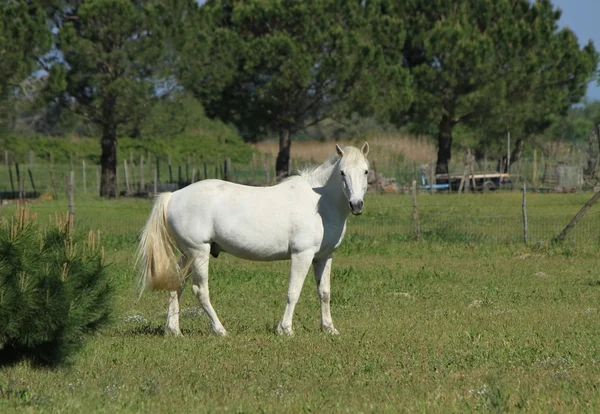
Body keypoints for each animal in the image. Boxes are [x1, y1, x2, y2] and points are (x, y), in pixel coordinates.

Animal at [138, 142, 370, 336]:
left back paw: (174, 331)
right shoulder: (301, 255)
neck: (319, 203)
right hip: (199, 252)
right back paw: (220, 330)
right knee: (200, 290)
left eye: (366, 171)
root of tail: (173, 196)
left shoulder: (323, 257)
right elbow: (293, 292)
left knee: (176, 284)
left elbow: (324, 292)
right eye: (342, 172)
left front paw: (329, 329)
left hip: (188, 254)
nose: (356, 205)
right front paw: (285, 329)